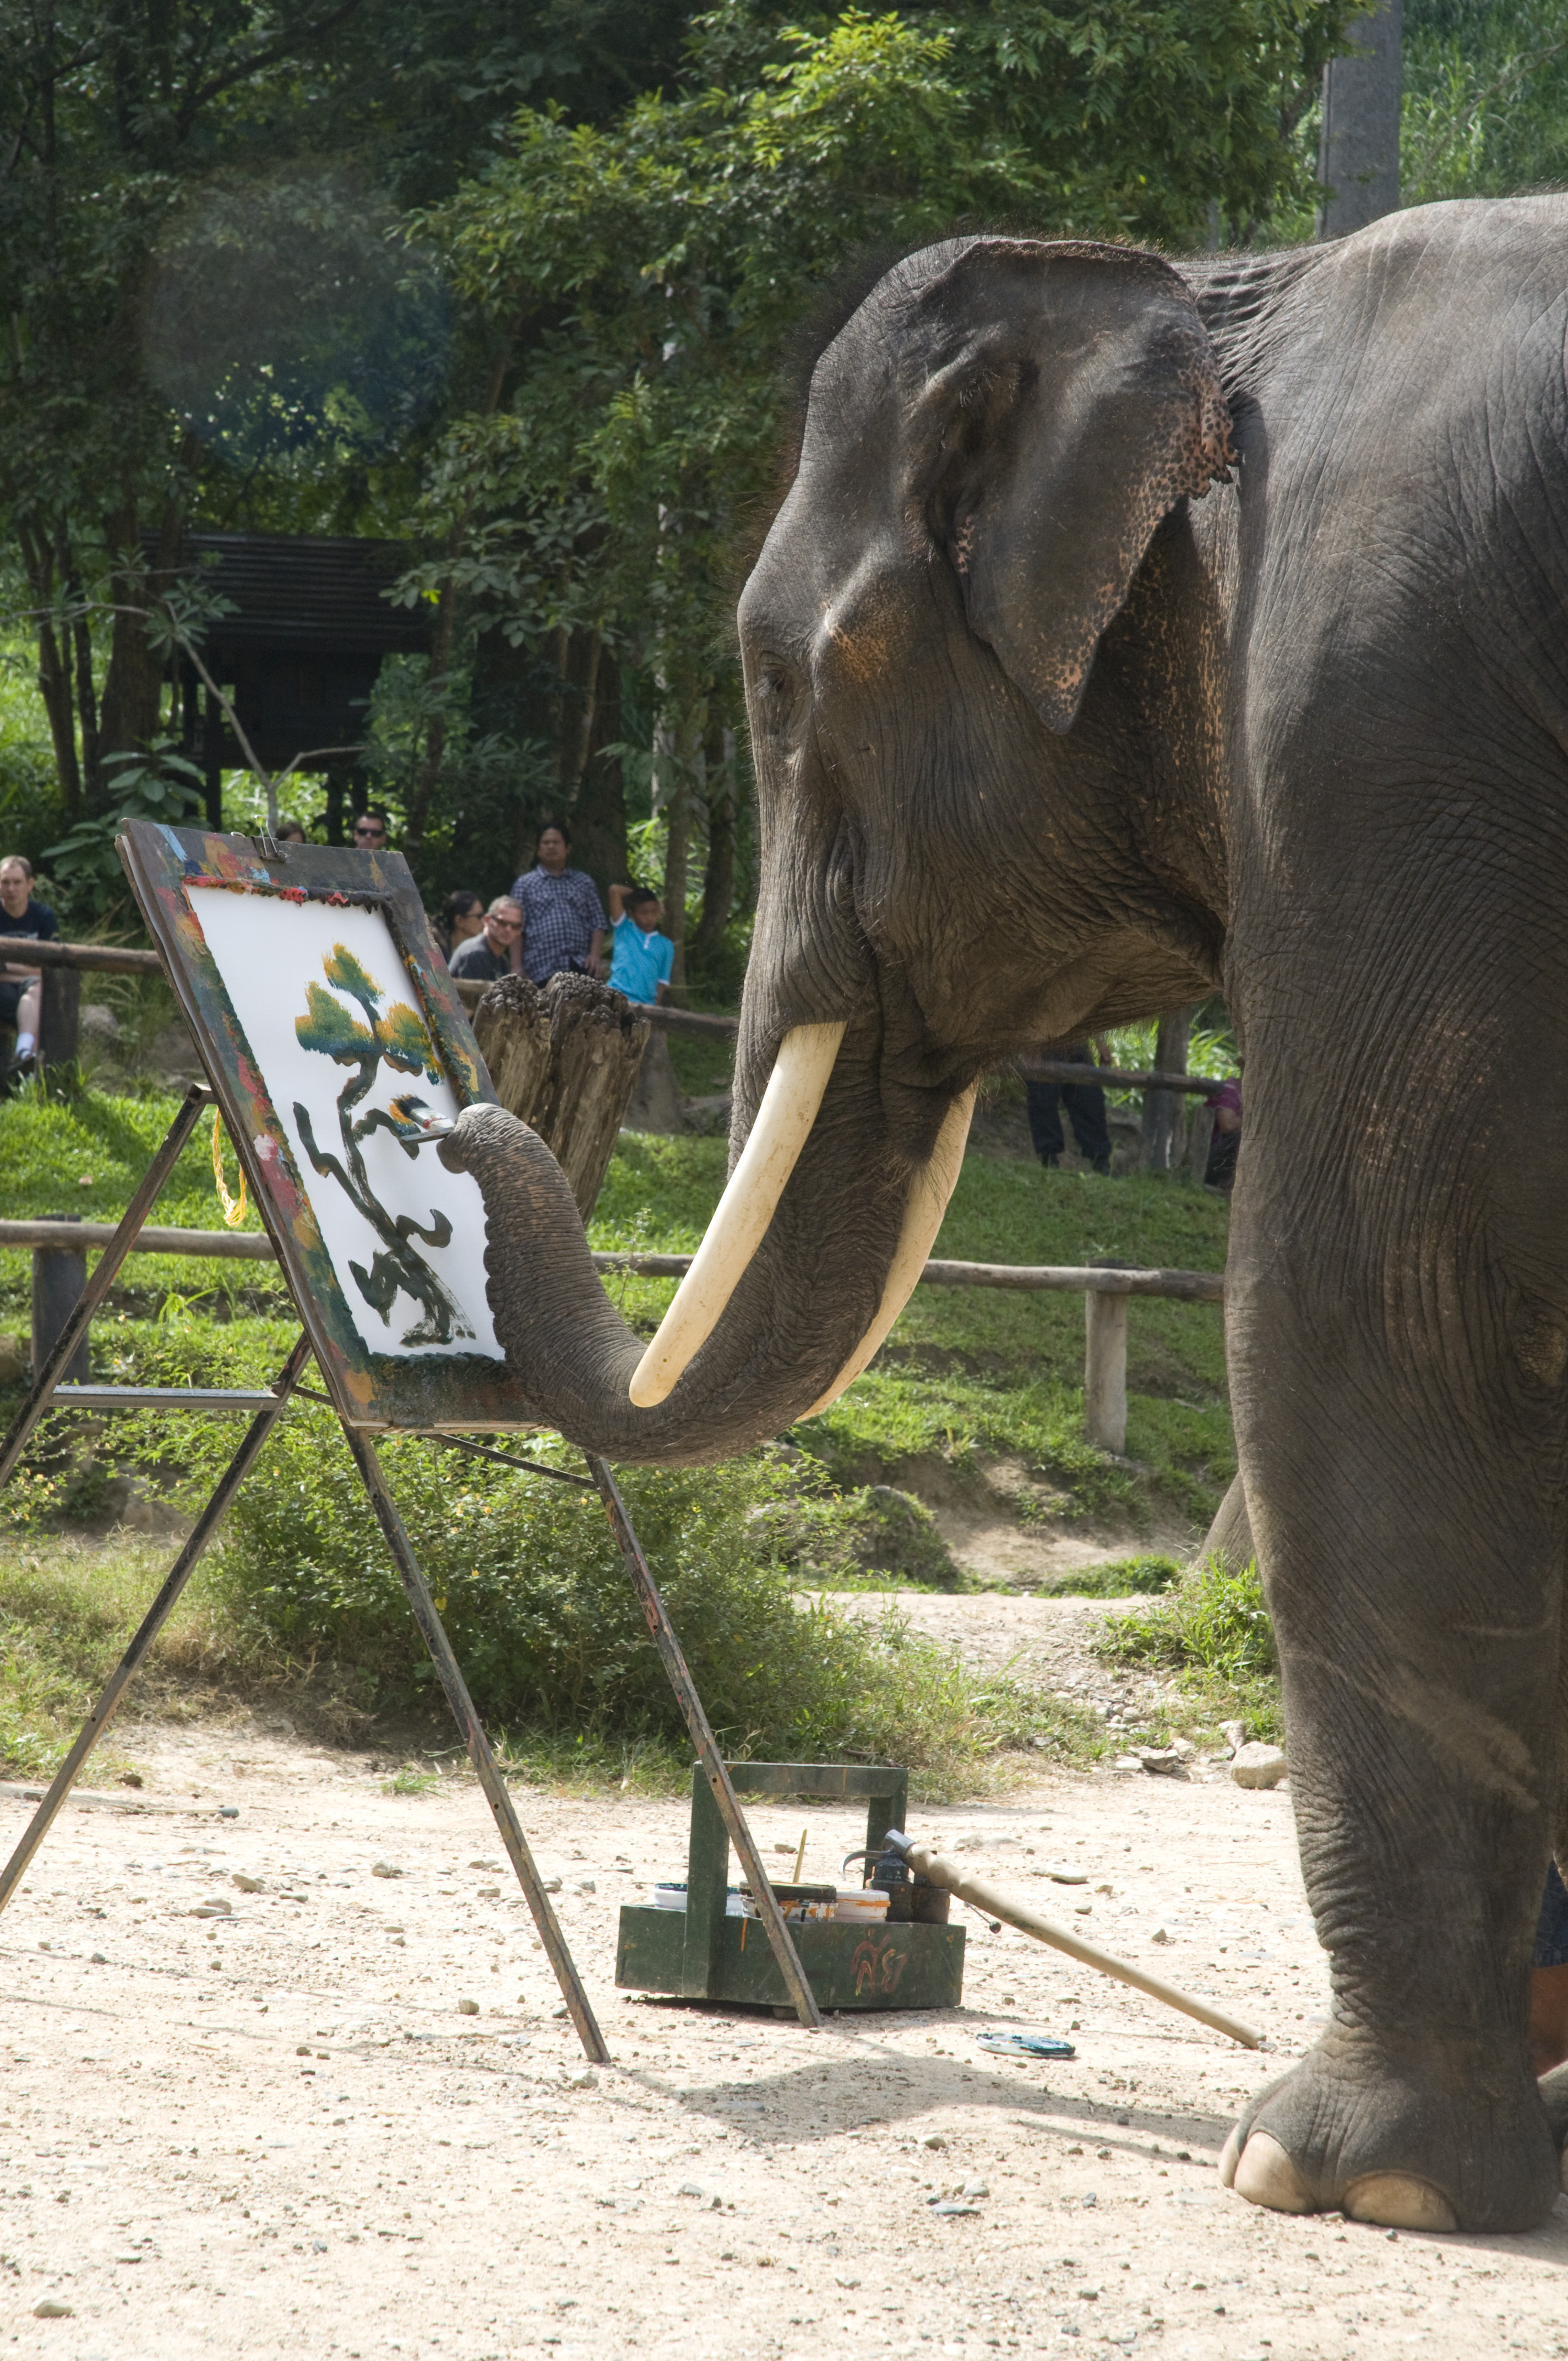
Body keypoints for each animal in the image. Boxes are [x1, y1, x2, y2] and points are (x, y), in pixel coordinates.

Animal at [440, 195, 1568, 2232]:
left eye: (781, 683)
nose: (467, 1107)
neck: (1206, 292)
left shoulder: (1381, 713)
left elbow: (1370, 1315)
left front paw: (1340, 2175)